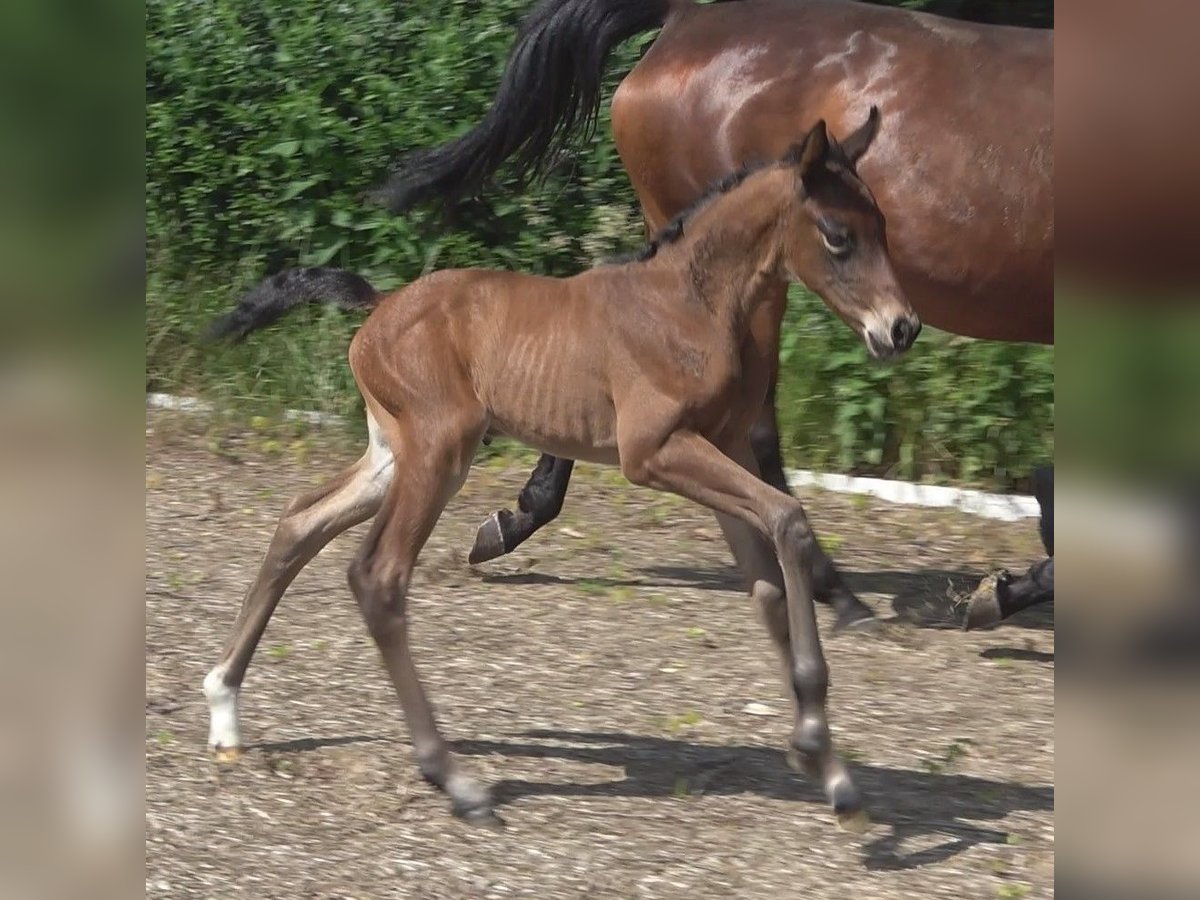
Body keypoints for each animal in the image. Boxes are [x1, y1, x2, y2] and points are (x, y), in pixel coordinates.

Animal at [204, 112, 916, 830]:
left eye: (884, 224)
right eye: (838, 235)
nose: (901, 328)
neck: (691, 304)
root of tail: (379, 306)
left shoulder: (726, 448)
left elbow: (767, 585)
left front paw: (830, 773)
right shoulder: (654, 452)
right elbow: (789, 519)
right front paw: (817, 746)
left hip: (392, 455)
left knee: (301, 521)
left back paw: (224, 707)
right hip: (439, 452)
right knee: (377, 574)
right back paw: (455, 781)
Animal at [374, 0, 1051, 628]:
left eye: (884, 227)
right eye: (838, 236)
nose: (902, 327)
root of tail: (685, 17)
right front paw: (1004, 591)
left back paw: (516, 519)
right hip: (728, 260)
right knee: (753, 425)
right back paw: (836, 592)